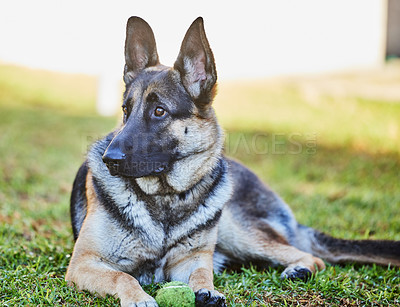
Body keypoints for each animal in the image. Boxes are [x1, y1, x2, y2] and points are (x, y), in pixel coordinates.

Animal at [65, 17, 400, 307]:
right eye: (125, 110)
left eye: (159, 111)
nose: (109, 159)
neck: (166, 199)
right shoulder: (83, 263)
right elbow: (123, 277)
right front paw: (139, 298)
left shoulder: (190, 261)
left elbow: (202, 272)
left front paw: (207, 290)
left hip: (236, 230)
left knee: (311, 257)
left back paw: (299, 268)